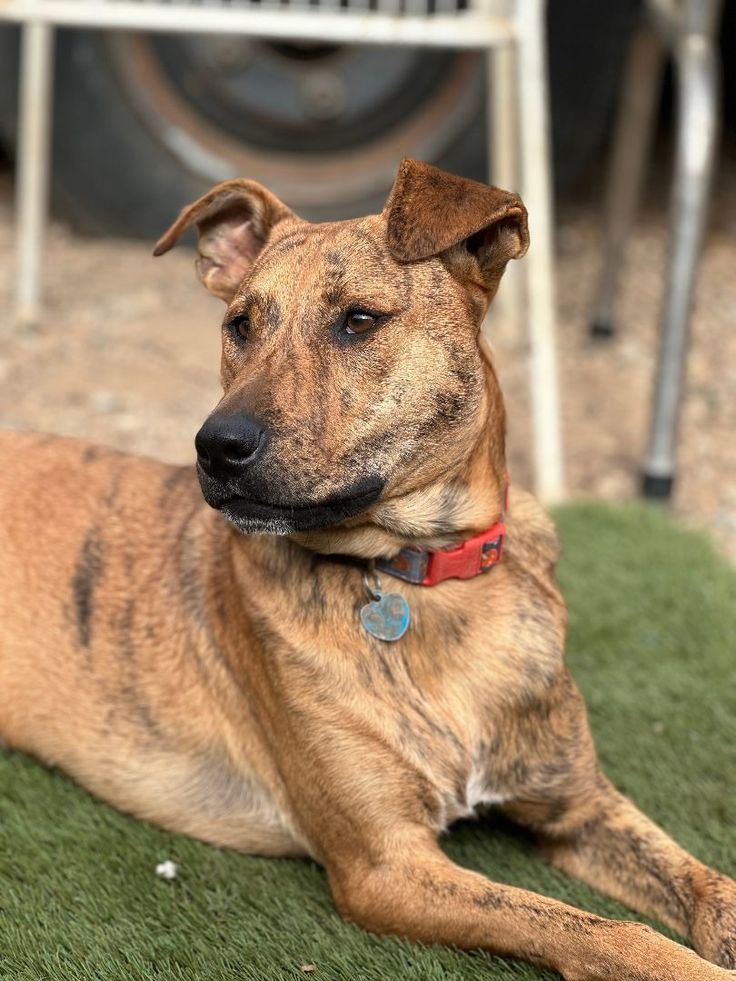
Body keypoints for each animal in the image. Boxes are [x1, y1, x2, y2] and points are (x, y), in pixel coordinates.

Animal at [1, 157, 736, 976]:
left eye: (358, 319)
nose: (215, 445)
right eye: (239, 325)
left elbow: (709, 886)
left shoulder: (579, 804)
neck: (423, 577)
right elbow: (602, 930)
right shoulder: (387, 865)